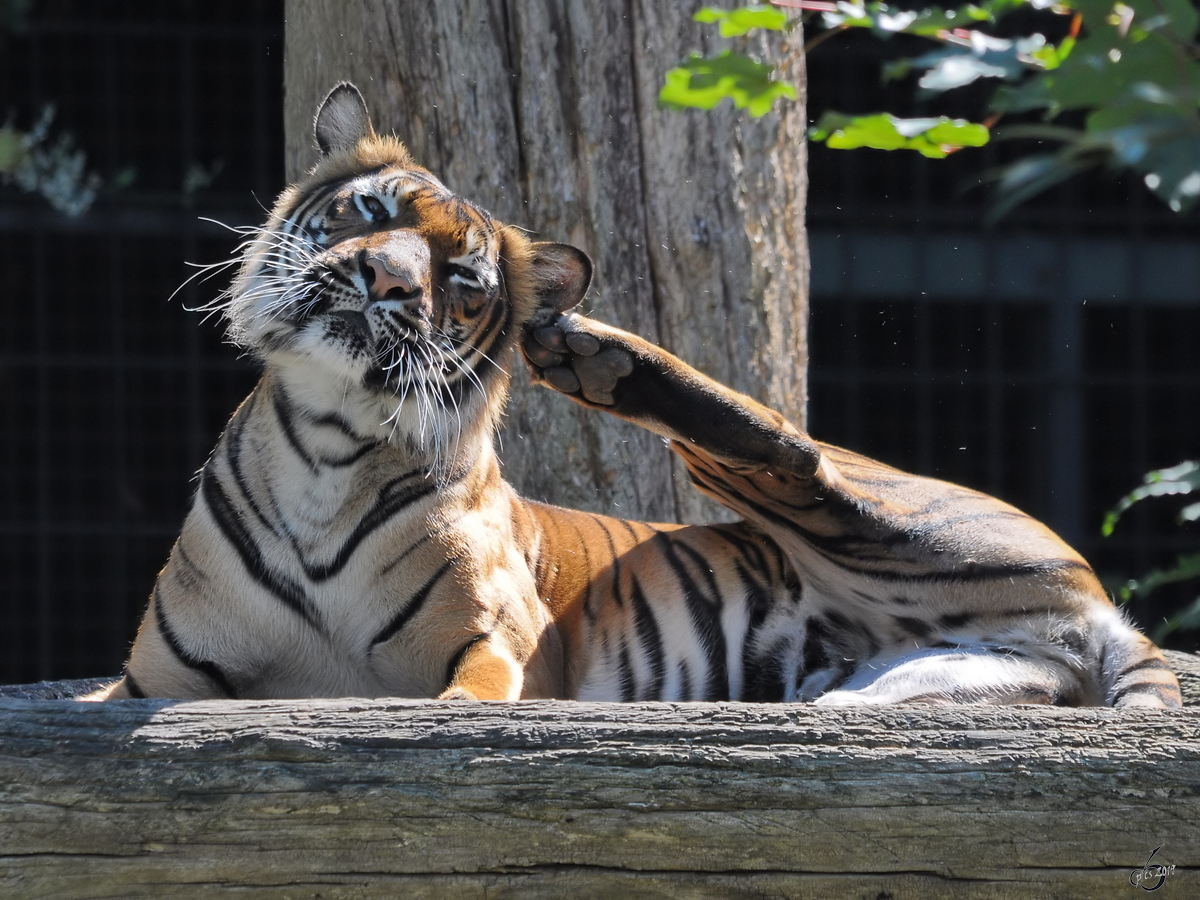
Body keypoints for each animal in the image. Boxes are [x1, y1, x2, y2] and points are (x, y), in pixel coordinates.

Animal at [87, 82, 1180, 705]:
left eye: (462, 280)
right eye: (369, 210)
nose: (387, 280)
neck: (325, 448)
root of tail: (1100, 613)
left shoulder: (495, 649)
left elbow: (462, 704)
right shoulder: (150, 681)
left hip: (877, 511)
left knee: (793, 456)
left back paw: (598, 359)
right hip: (879, 694)